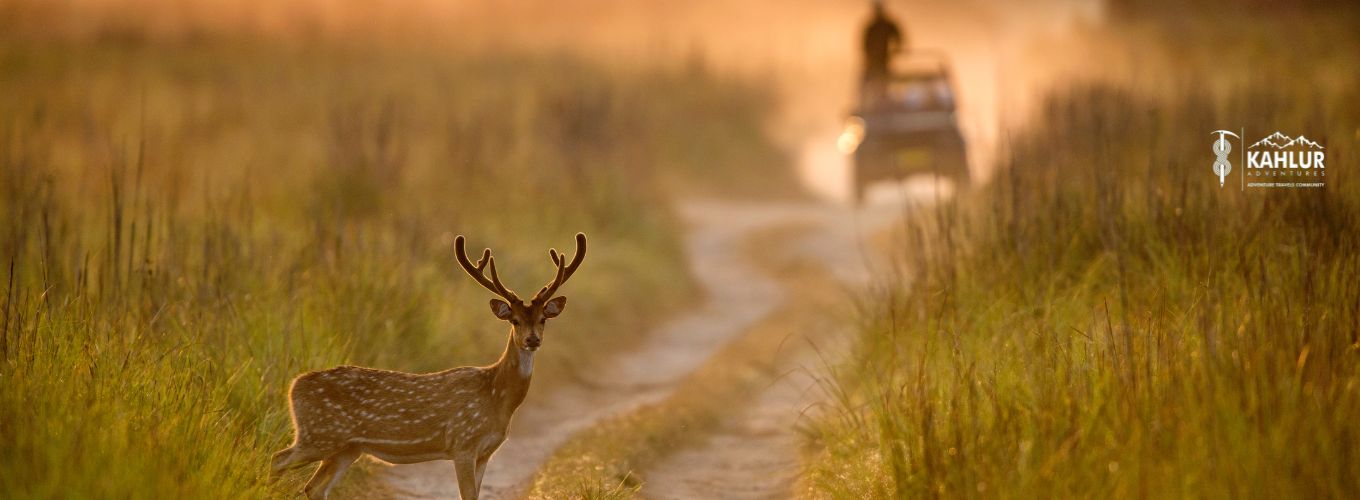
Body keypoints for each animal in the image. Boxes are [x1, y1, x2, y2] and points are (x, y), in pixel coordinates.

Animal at [269, 232, 584, 497]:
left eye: (543, 319)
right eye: (515, 320)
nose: (532, 339)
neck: (497, 397)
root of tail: (293, 386)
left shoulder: (485, 452)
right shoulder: (462, 442)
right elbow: (467, 495)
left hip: (346, 447)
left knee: (314, 487)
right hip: (319, 433)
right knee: (277, 458)